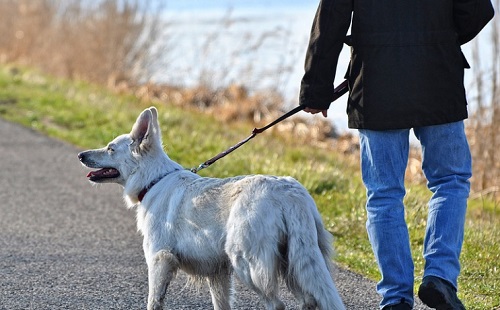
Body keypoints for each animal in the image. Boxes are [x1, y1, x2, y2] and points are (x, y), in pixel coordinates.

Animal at [78, 107, 346, 310]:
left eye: (110, 148)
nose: (80, 155)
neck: (154, 180)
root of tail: (288, 193)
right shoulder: (218, 274)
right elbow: (221, 304)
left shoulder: (159, 259)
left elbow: (154, 302)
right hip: (296, 263)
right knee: (310, 300)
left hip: (248, 265)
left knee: (277, 304)